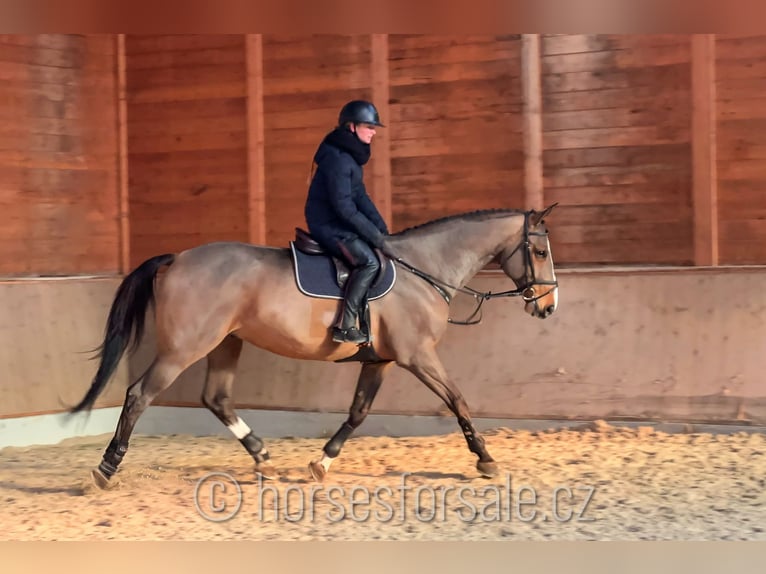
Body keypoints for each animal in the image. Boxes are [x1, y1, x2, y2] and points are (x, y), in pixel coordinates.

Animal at [70, 205, 559, 489]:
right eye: (539, 252)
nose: (548, 306)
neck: (423, 269)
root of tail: (176, 258)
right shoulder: (417, 356)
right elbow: (458, 400)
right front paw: (486, 460)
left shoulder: (381, 360)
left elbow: (358, 412)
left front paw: (322, 463)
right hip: (184, 348)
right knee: (139, 395)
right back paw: (107, 469)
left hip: (226, 343)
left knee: (217, 398)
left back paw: (263, 457)